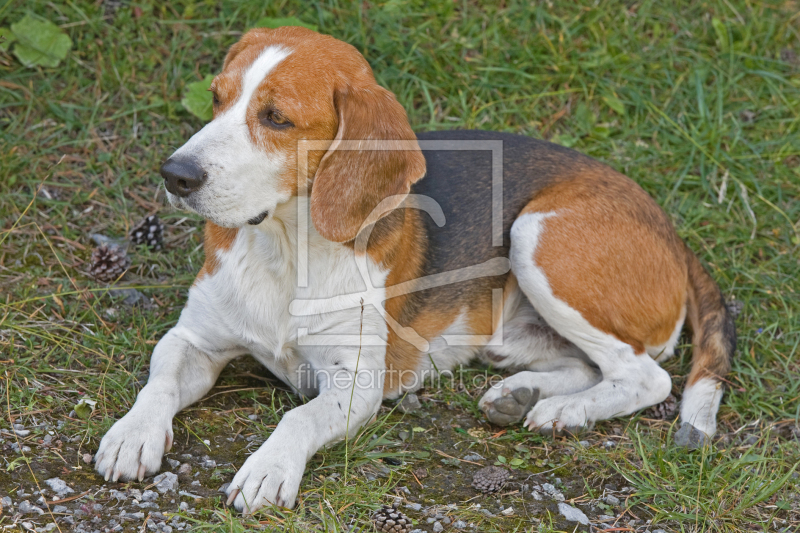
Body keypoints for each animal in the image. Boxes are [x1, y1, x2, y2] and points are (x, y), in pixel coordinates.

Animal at [92, 27, 732, 512]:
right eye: (218, 98)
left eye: (275, 118)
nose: (175, 174)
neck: (286, 250)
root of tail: (668, 227)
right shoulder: (194, 338)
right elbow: (160, 377)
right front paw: (133, 434)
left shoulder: (354, 384)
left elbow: (298, 417)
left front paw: (269, 467)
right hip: (510, 329)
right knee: (589, 365)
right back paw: (523, 395)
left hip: (536, 237)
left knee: (648, 376)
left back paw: (566, 411)